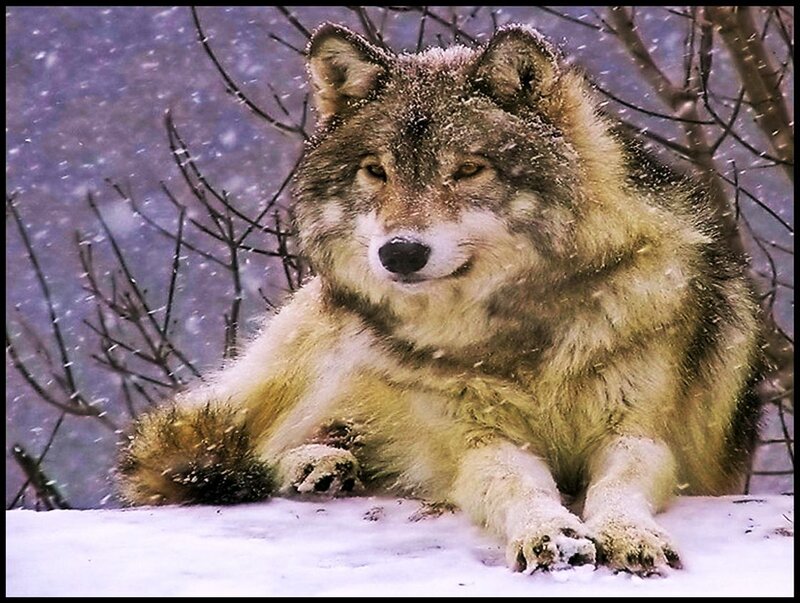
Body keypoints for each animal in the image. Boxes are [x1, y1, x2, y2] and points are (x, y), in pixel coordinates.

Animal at [118, 23, 763, 575]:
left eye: (469, 169)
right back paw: (317, 463)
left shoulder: (639, 434)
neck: (519, 331)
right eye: (376, 171)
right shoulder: (477, 440)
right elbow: (516, 484)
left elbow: (619, 486)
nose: (400, 253)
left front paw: (629, 536)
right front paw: (549, 533)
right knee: (241, 444)